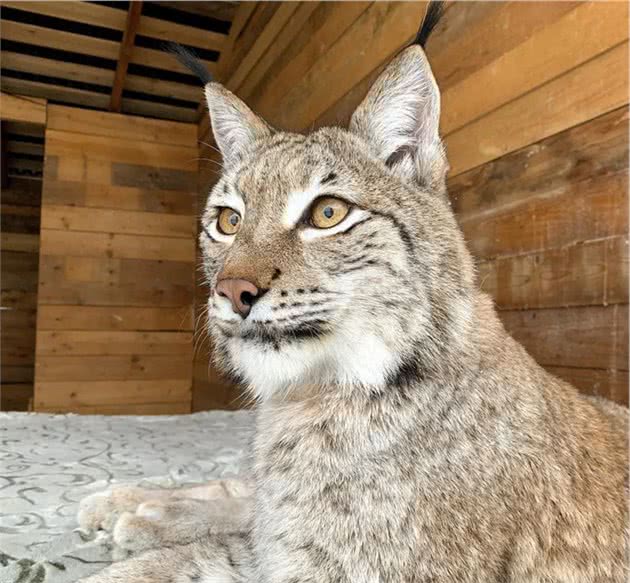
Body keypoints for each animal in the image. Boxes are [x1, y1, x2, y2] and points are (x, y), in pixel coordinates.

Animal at [79, 4, 628, 581]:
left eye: (328, 213)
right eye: (228, 222)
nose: (231, 290)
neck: (316, 394)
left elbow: (196, 555)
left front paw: (149, 530)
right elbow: (242, 500)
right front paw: (139, 506)